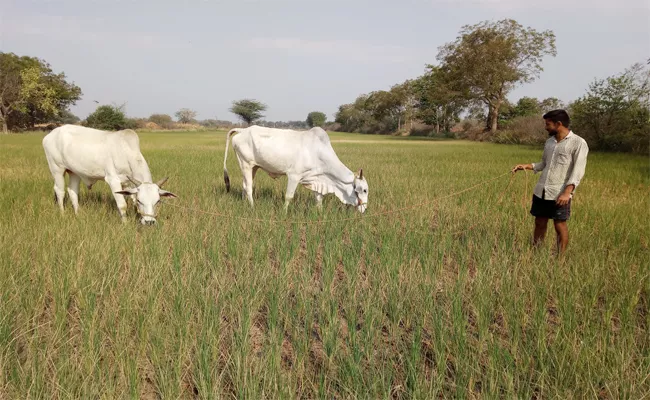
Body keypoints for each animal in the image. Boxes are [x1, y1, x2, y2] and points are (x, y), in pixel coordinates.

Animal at [42, 124, 176, 225]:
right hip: (57, 169)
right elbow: (122, 205)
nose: (149, 222)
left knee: (72, 191)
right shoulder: (113, 180)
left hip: (74, 172)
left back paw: (78, 215)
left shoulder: (127, 184)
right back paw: (63, 214)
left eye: (158, 201)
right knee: (60, 191)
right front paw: (125, 224)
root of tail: (51, 134)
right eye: (140, 200)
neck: (126, 151)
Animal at [223, 125, 368, 212]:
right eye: (364, 190)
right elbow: (288, 196)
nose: (364, 209)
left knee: (244, 185)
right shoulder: (294, 176)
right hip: (246, 164)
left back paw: (244, 204)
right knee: (249, 188)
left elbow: (318, 199)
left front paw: (320, 213)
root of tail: (242, 130)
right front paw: (284, 212)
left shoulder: (315, 179)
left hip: (253, 167)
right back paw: (253, 207)